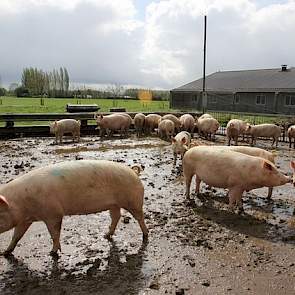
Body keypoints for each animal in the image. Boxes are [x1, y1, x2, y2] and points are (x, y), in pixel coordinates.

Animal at [0, 160, 149, 256]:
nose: (2, 253)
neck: (21, 204)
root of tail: (134, 172)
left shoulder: (54, 214)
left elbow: (54, 233)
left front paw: (52, 253)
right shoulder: (25, 220)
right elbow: (16, 236)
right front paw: (5, 252)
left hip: (133, 200)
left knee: (139, 217)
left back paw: (145, 235)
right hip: (114, 204)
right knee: (116, 216)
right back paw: (106, 235)